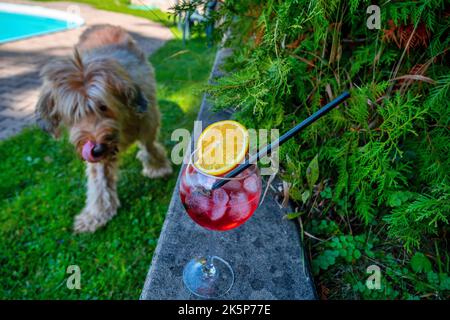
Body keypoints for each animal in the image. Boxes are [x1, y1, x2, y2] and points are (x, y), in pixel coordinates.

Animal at [35, 25, 171, 232]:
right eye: (74, 113)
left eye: (103, 106)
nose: (97, 149)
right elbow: (99, 182)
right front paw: (96, 215)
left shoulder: (148, 120)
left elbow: (149, 146)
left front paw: (157, 167)